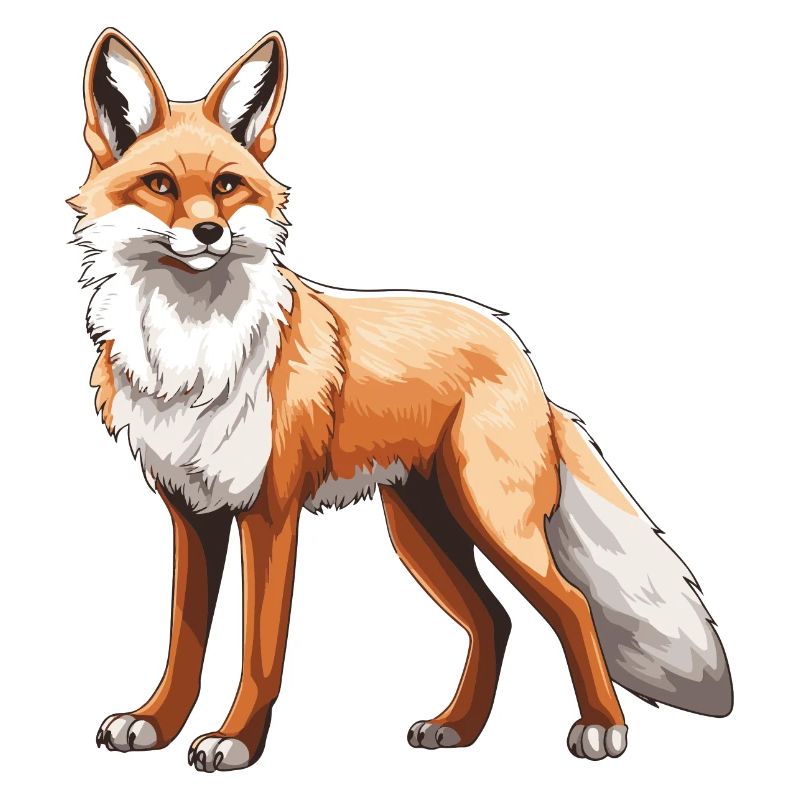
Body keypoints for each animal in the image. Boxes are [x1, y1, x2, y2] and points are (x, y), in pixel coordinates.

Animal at [70, 28, 733, 772]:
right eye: (160, 185)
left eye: (226, 186)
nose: (210, 233)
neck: (194, 353)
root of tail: (521, 353)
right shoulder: (192, 513)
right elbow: (184, 644)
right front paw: (156, 722)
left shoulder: (270, 513)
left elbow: (259, 651)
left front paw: (236, 739)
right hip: (421, 528)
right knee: (495, 619)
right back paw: (458, 729)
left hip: (492, 521)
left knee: (570, 606)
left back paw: (601, 728)